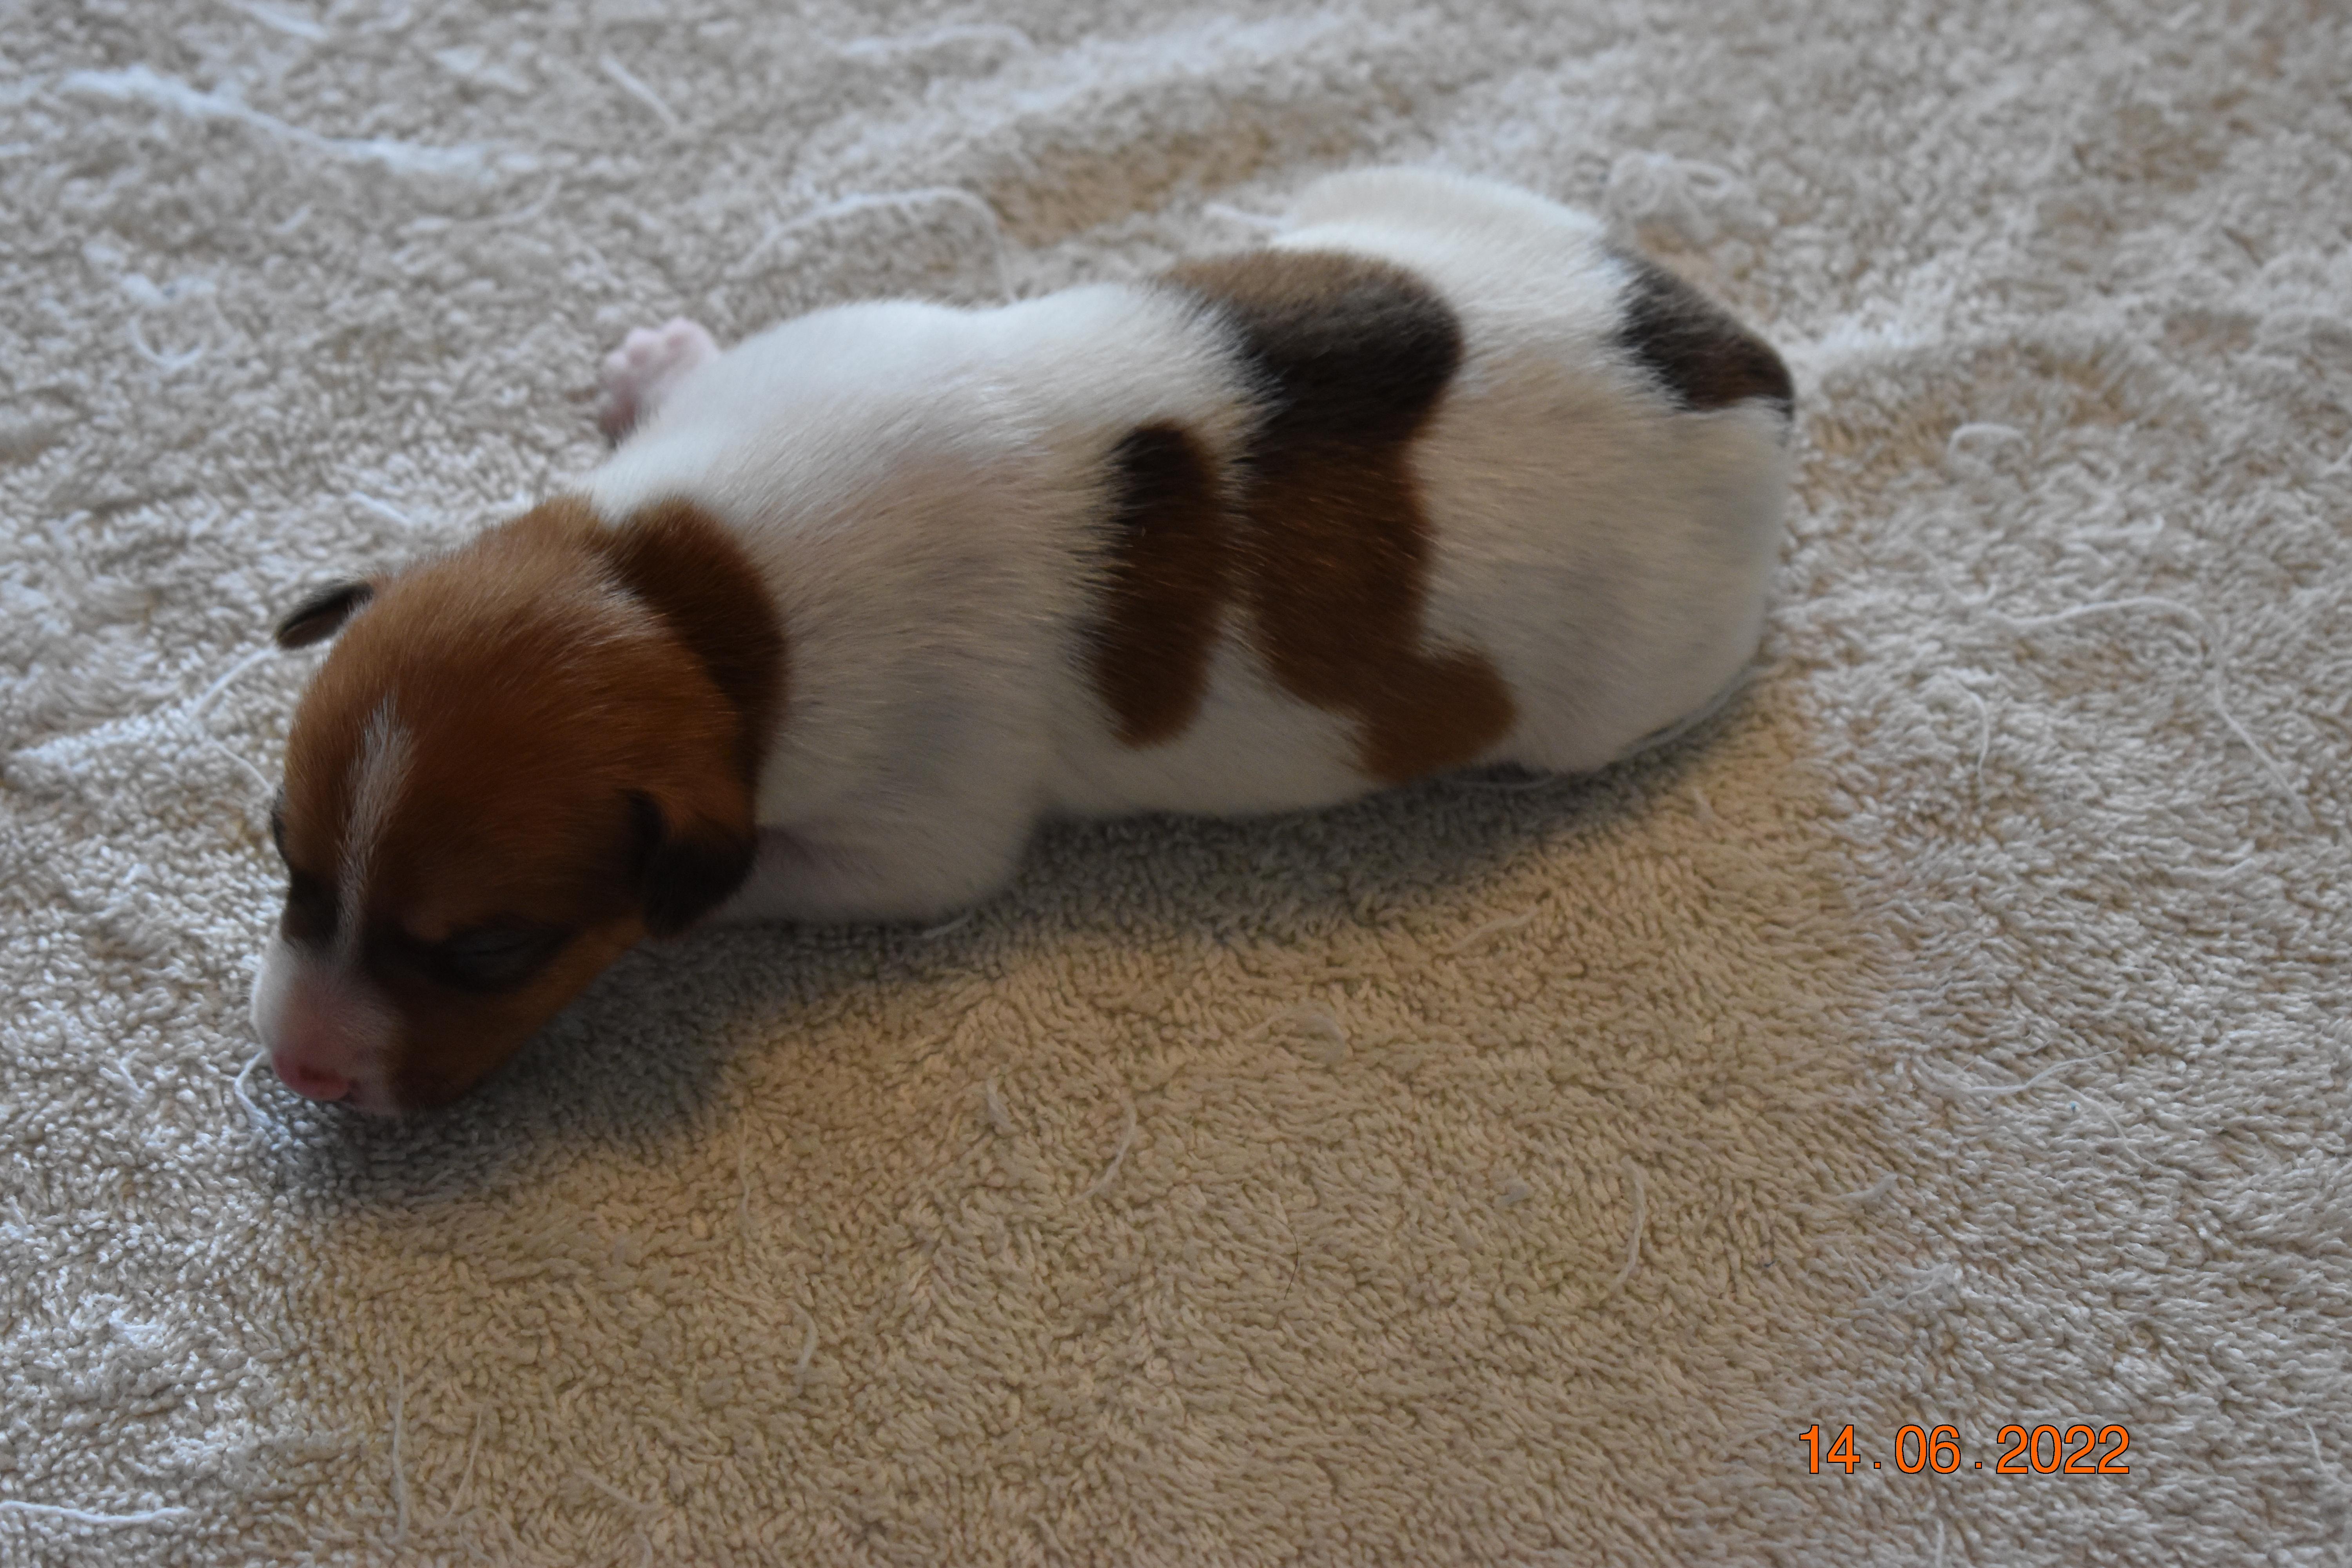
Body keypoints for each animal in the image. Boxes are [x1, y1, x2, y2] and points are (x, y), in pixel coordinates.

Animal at [249, 167, 1794, 1114]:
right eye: (285, 851)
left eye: (492, 951)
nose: (302, 1070)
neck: (700, 602)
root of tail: (1743, 374)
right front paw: (653, 371)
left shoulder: (904, 838)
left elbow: (755, 879)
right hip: (1409, 204)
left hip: (1628, 684)